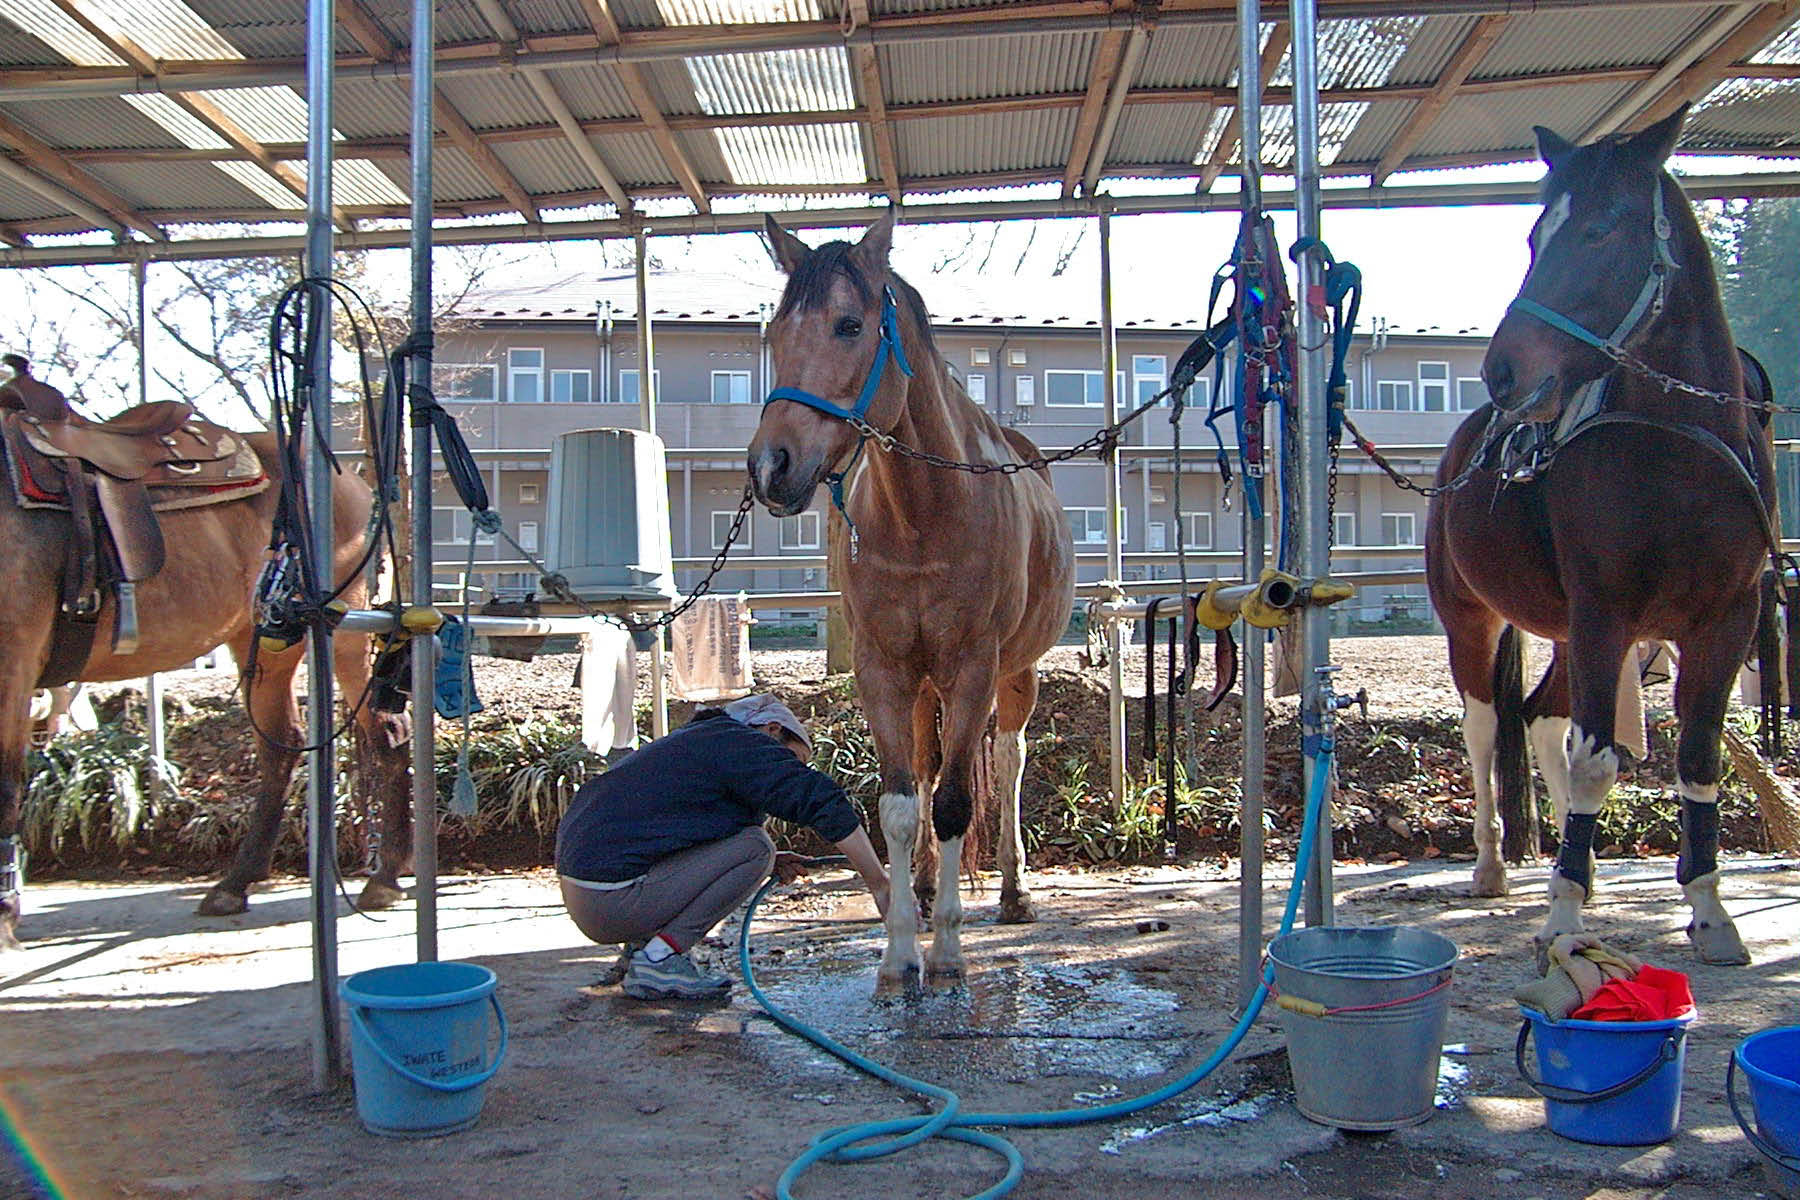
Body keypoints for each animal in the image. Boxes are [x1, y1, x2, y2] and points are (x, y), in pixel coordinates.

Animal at [0, 356, 410, 949]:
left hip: (343, 629)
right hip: (265, 635)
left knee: (385, 731)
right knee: (283, 741)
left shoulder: (14, 660)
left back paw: (384, 875)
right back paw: (236, 882)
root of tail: (352, 481)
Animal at [741, 211, 1065, 993]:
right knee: (924, 766)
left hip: (1016, 674)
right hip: (924, 687)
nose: (770, 466)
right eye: (777, 332)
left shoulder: (974, 671)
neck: (925, 515)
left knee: (1007, 762)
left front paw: (945, 951)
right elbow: (898, 803)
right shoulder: (884, 672)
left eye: (850, 325)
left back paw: (1012, 891)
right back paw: (920, 884)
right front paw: (898, 952)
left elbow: (953, 804)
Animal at [1432, 105, 1771, 964]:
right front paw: (1562, 920)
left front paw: (1709, 912)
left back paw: (1573, 860)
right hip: (1474, 622)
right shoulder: (1604, 614)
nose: (1504, 373)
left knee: (1547, 720)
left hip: (1577, 633)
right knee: (1486, 730)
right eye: (1533, 236)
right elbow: (1593, 763)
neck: (1678, 447)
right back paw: (1493, 865)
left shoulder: (1728, 619)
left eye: (1600, 230)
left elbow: (1696, 757)